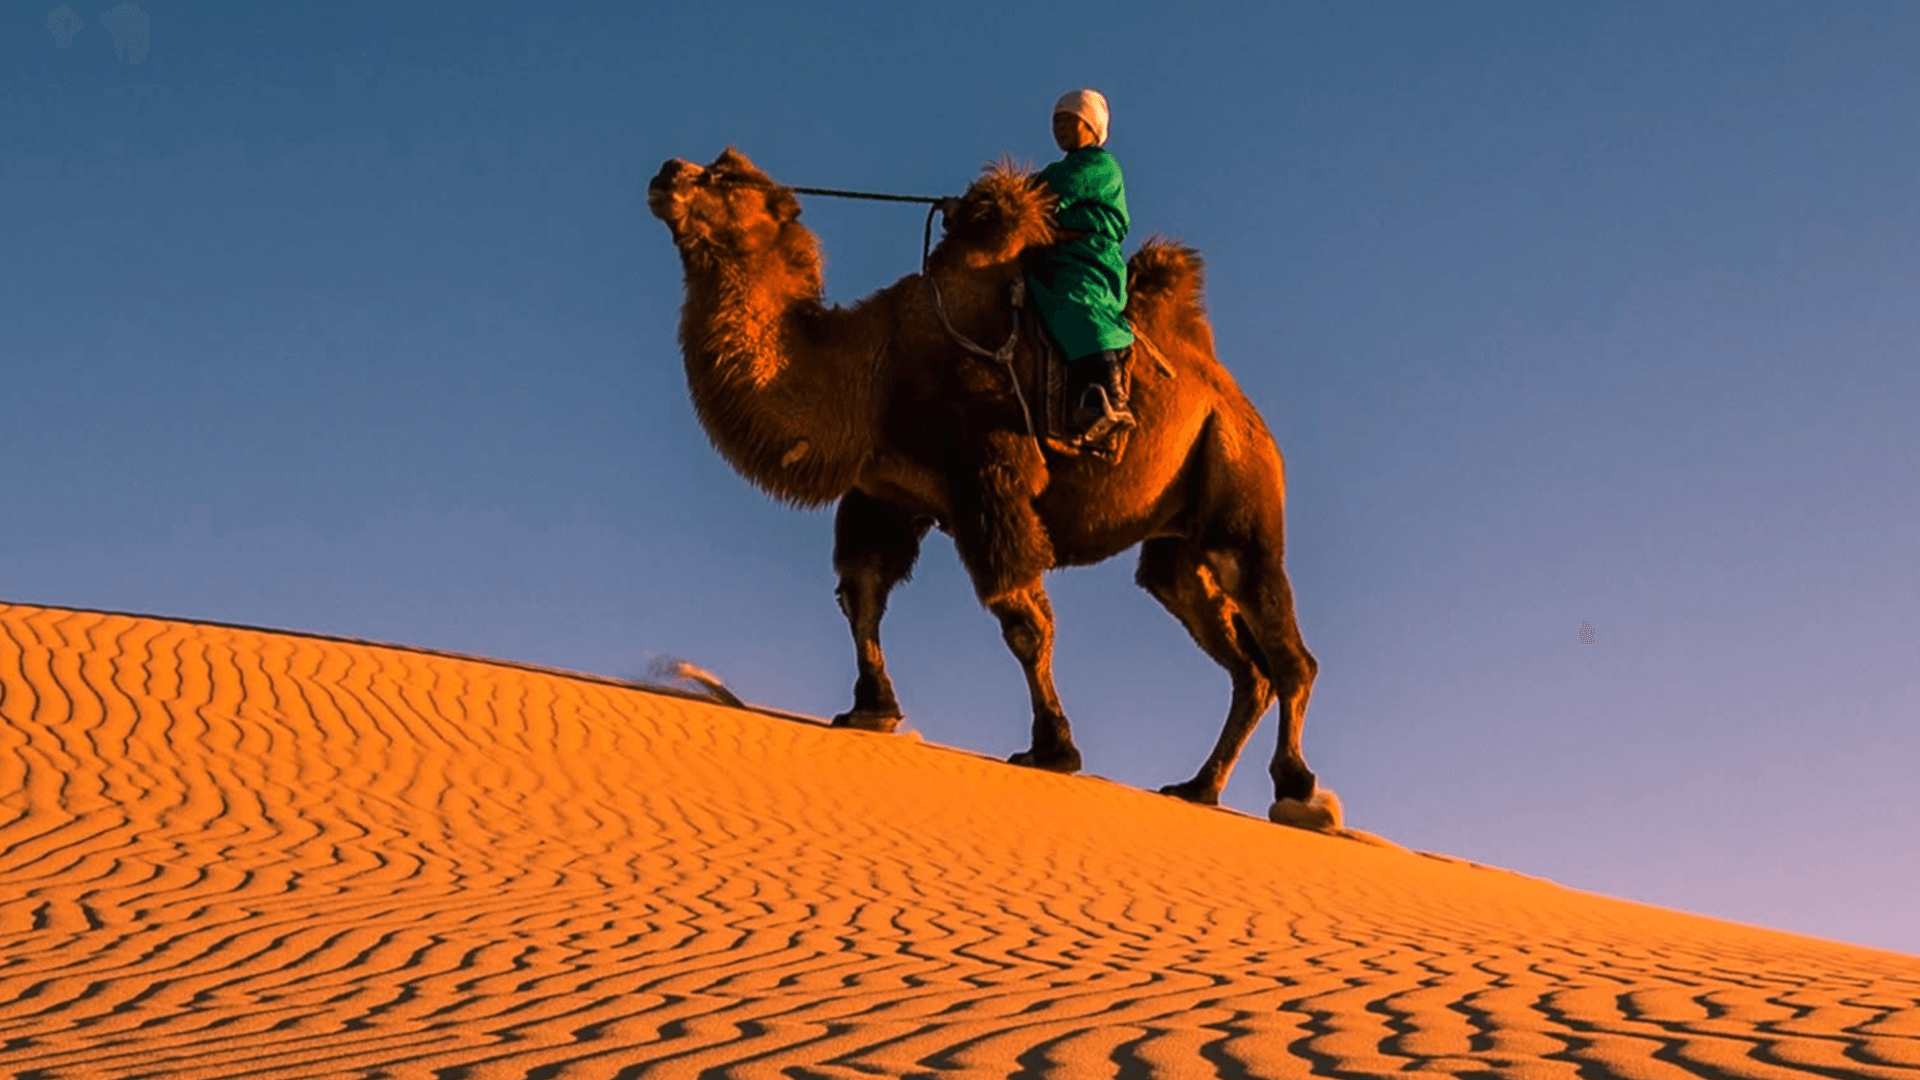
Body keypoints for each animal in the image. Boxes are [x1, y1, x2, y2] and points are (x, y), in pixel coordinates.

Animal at [646, 148, 1336, 828]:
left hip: (1238, 484)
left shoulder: (990, 476)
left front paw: (1052, 749)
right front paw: (872, 710)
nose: (666, 172)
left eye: (726, 177)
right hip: (1178, 545)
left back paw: (1301, 794)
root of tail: (1235, 402)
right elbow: (861, 594)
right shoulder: (887, 493)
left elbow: (1023, 622)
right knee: (1242, 661)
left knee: (1286, 649)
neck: (873, 372)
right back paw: (1198, 787)